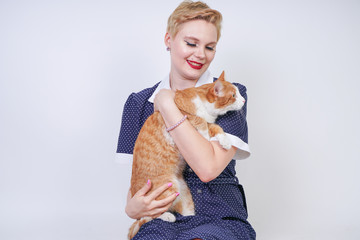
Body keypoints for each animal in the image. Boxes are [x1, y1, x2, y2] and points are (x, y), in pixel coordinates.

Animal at [126, 71, 245, 238]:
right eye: (234, 95)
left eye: (239, 93)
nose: (244, 100)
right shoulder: (182, 114)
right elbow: (200, 121)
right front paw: (205, 136)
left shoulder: (211, 123)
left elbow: (216, 127)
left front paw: (225, 140)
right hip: (167, 188)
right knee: (150, 215)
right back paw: (167, 216)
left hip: (186, 198)